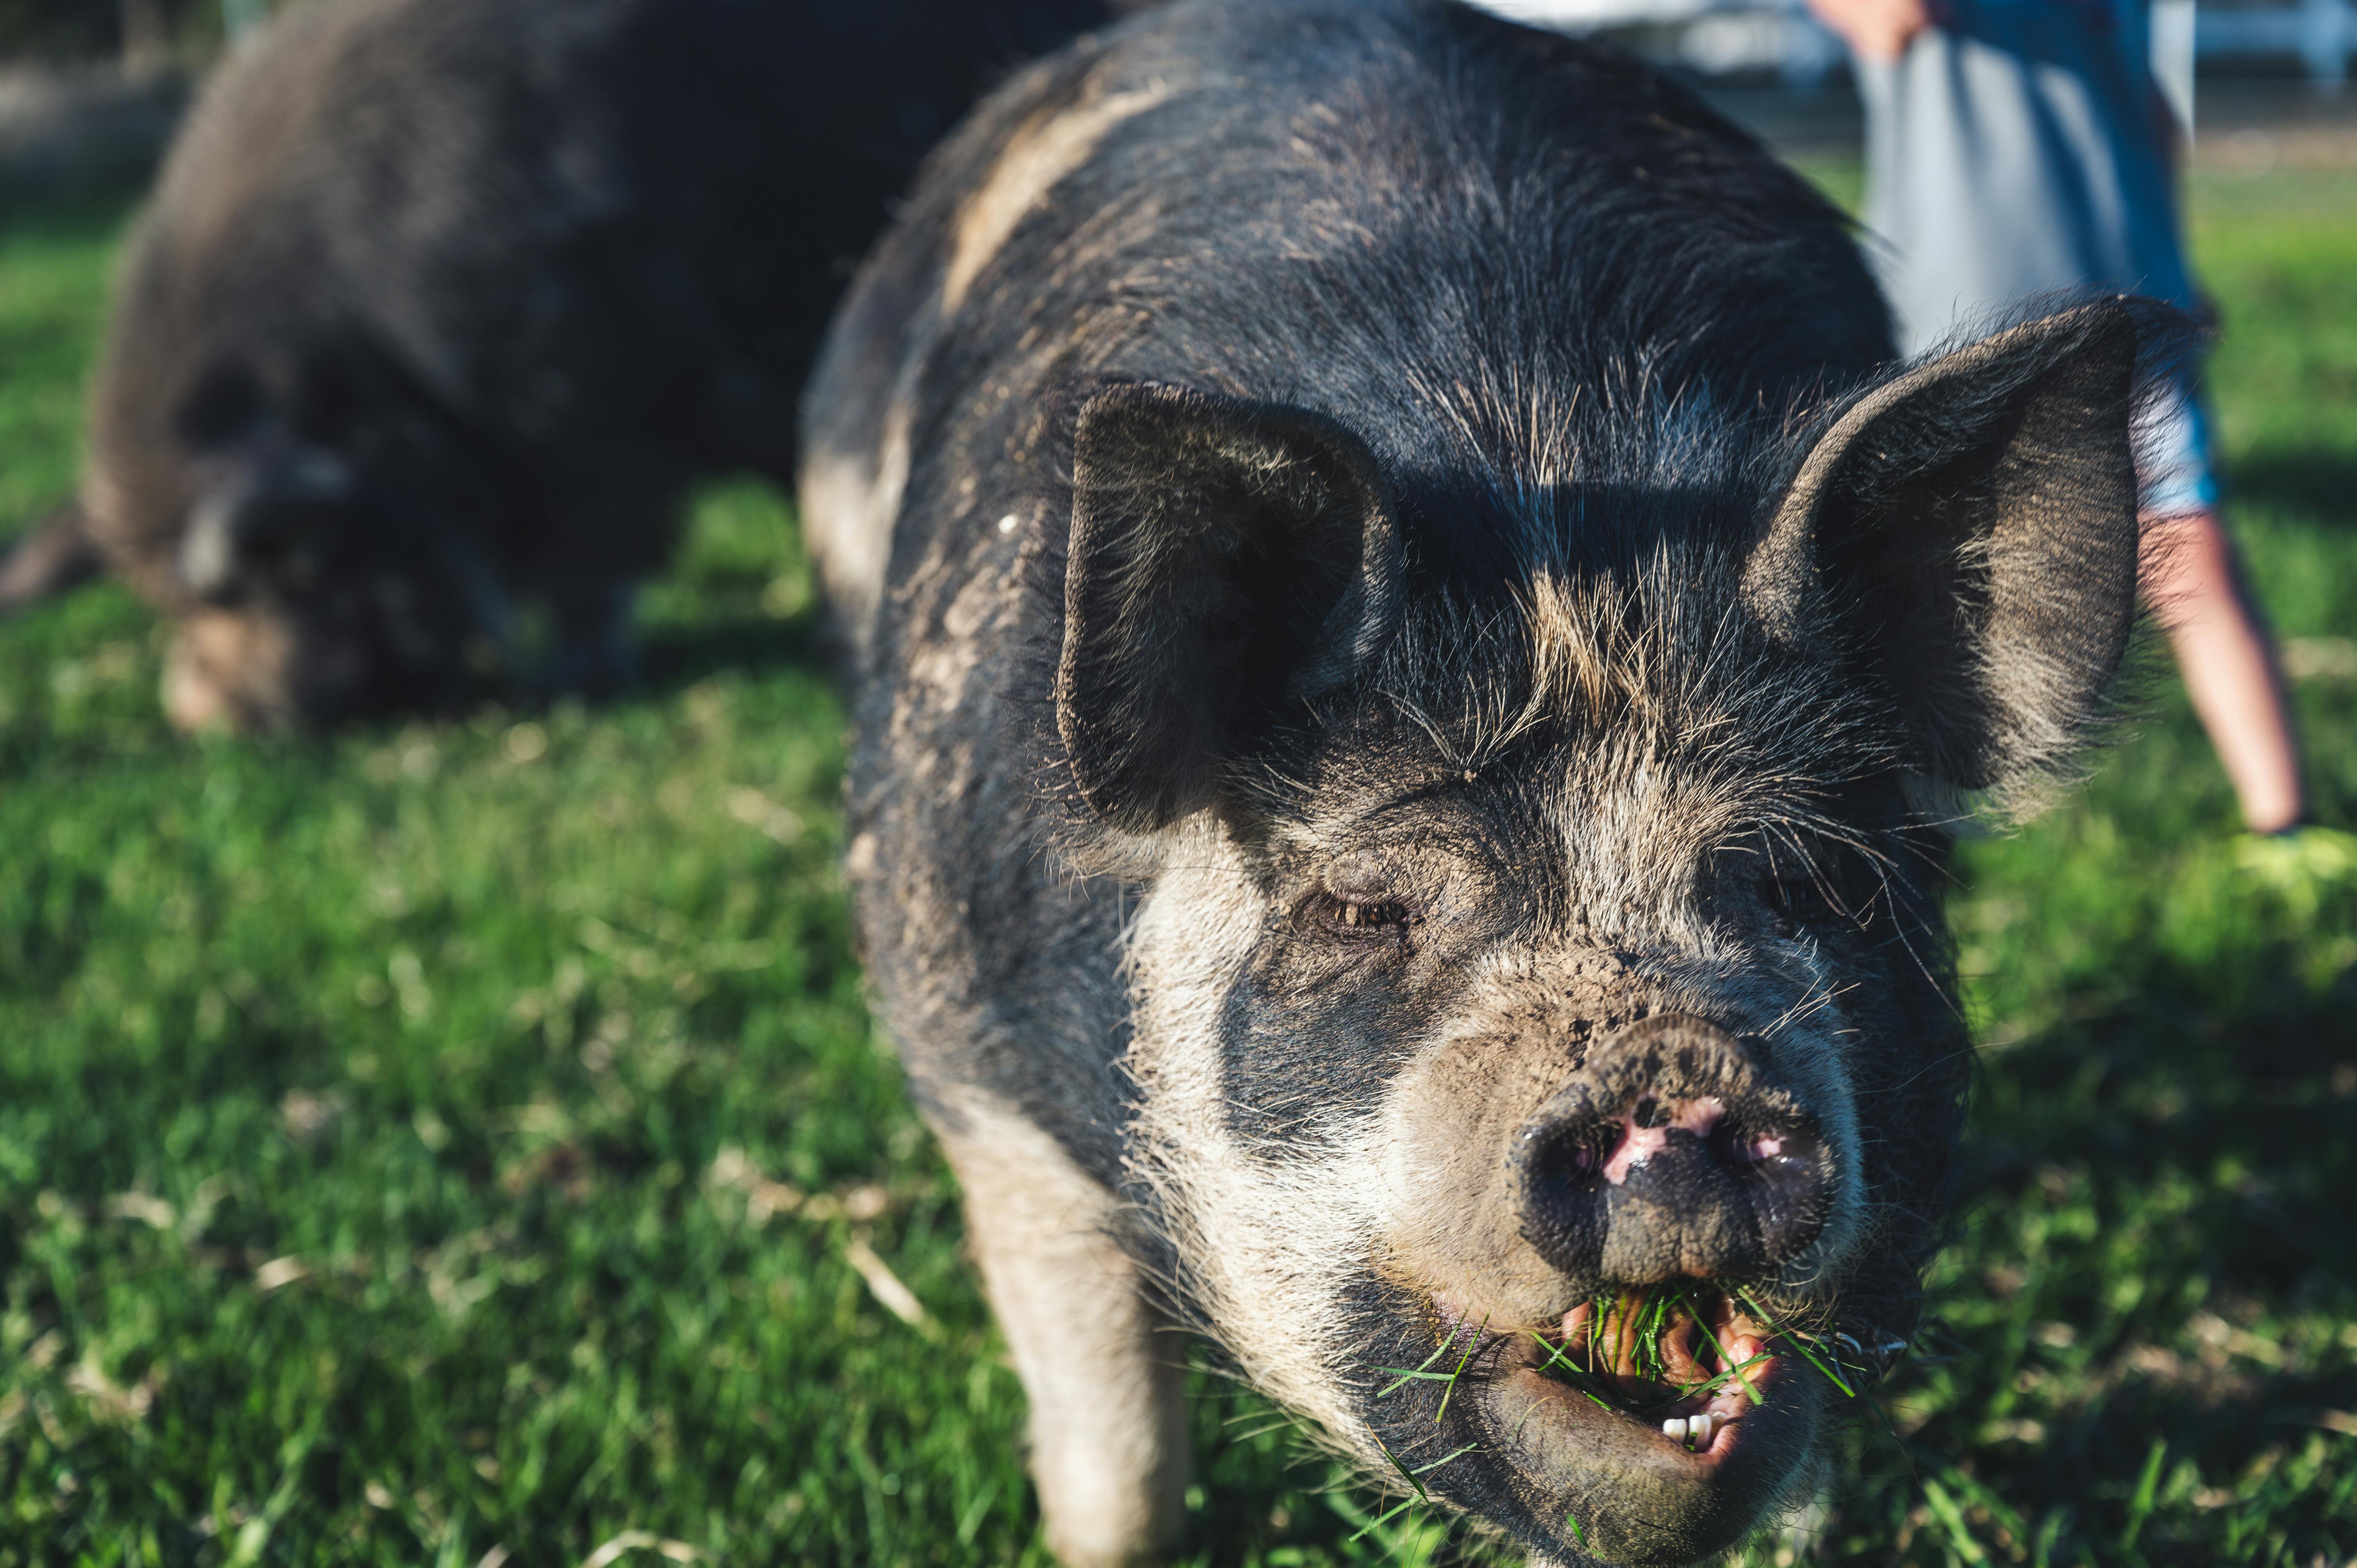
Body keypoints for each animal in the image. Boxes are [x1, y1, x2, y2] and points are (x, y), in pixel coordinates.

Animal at [30, 0, 1131, 726]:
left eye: (280, 577)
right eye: (159, 600)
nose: (203, 717)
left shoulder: (588, 399)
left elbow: (595, 553)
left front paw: (574, 681)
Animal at [811, 3, 2187, 1565]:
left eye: (1807, 879)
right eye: (1363, 906)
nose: (1674, 1079)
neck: (1546, 492)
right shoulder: (969, 1062)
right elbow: (1117, 1457)